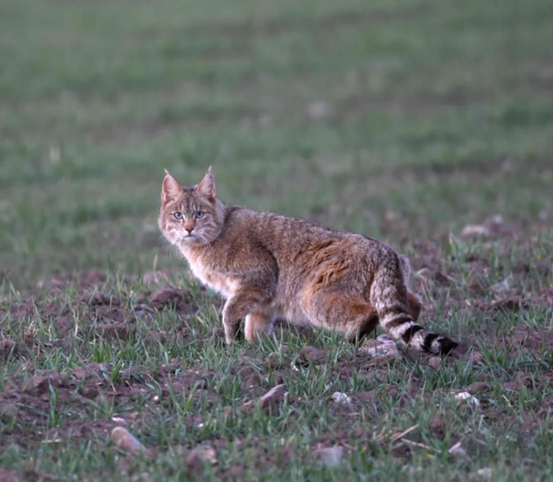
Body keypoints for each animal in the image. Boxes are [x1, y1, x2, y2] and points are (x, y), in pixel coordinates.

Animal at [158, 169, 458, 354]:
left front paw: (233, 343)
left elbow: (230, 312)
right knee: (412, 304)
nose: (188, 228)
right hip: (389, 289)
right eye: (177, 215)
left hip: (313, 297)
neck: (215, 233)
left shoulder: (258, 277)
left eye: (198, 214)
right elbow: (255, 324)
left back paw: (352, 341)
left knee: (370, 312)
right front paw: (255, 350)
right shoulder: (262, 299)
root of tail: (386, 251)